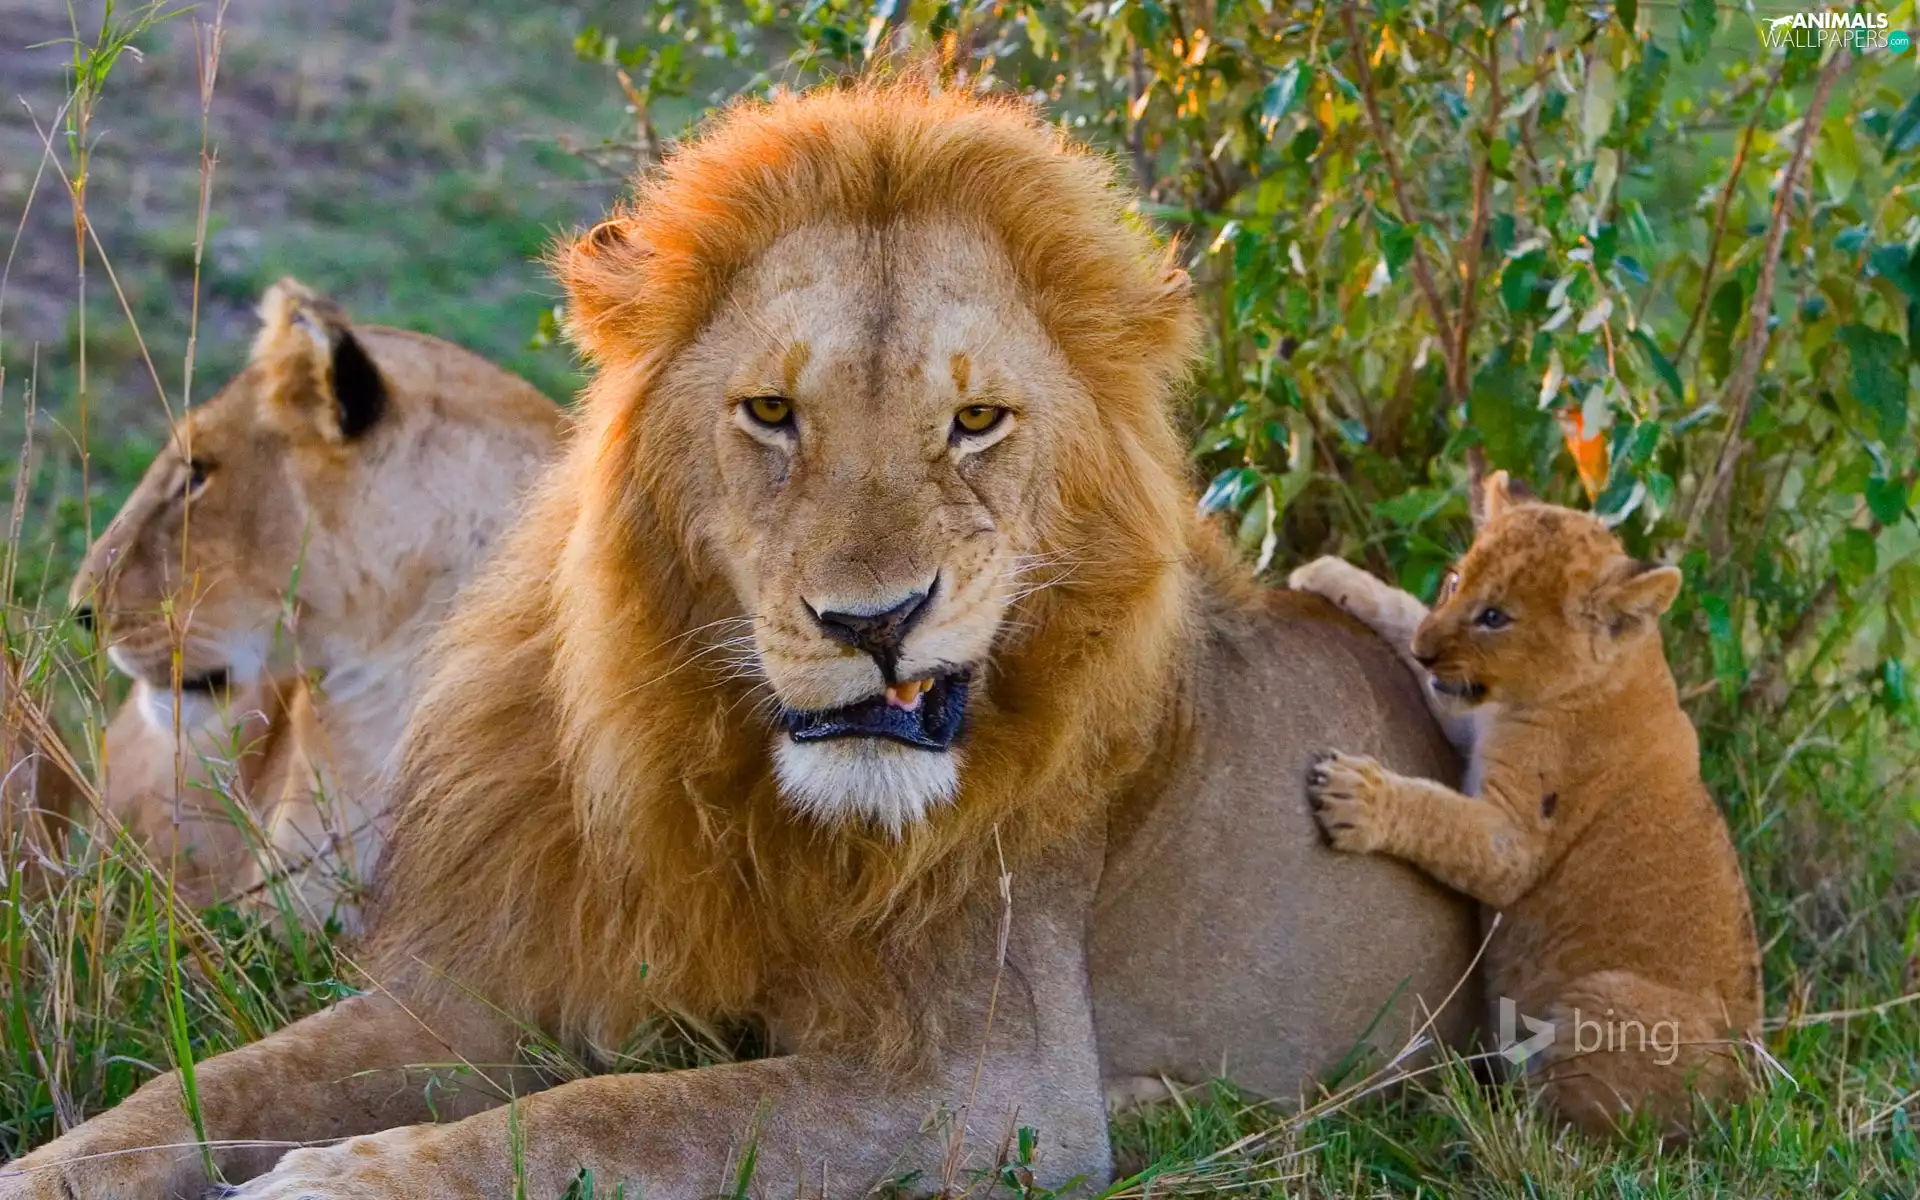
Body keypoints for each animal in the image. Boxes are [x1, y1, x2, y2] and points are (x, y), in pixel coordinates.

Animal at [1293, 471, 1762, 1137]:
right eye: (1455, 582)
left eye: (1495, 617)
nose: (1427, 650)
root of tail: (1747, 1098)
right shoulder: (1470, 721)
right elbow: (1400, 608)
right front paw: (1329, 574)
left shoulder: (1516, 840)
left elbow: (1443, 821)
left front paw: (1356, 796)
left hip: (1605, 1001)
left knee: (1568, 1128)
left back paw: (1469, 1109)